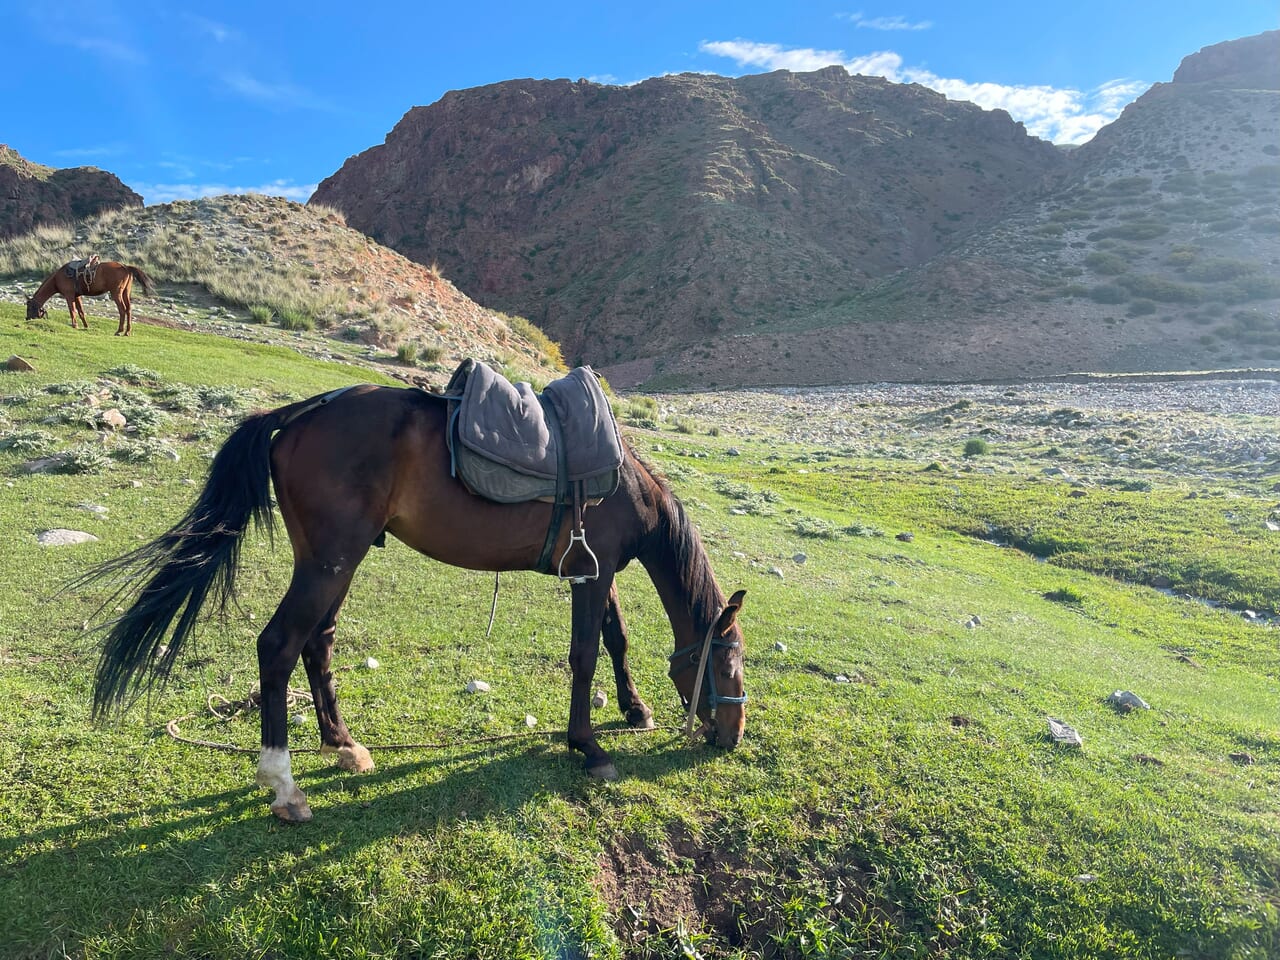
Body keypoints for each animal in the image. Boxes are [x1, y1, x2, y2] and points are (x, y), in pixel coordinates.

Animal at [25, 261, 154, 335]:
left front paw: (75, 325)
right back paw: (127, 332)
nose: (27, 318)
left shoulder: (69, 296)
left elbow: (72, 311)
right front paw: (86, 326)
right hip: (126, 293)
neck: (57, 278)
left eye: (29, 308)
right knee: (129, 310)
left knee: (122, 310)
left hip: (116, 293)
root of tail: (125, 267)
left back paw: (119, 331)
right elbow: (81, 312)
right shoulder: (77, 297)